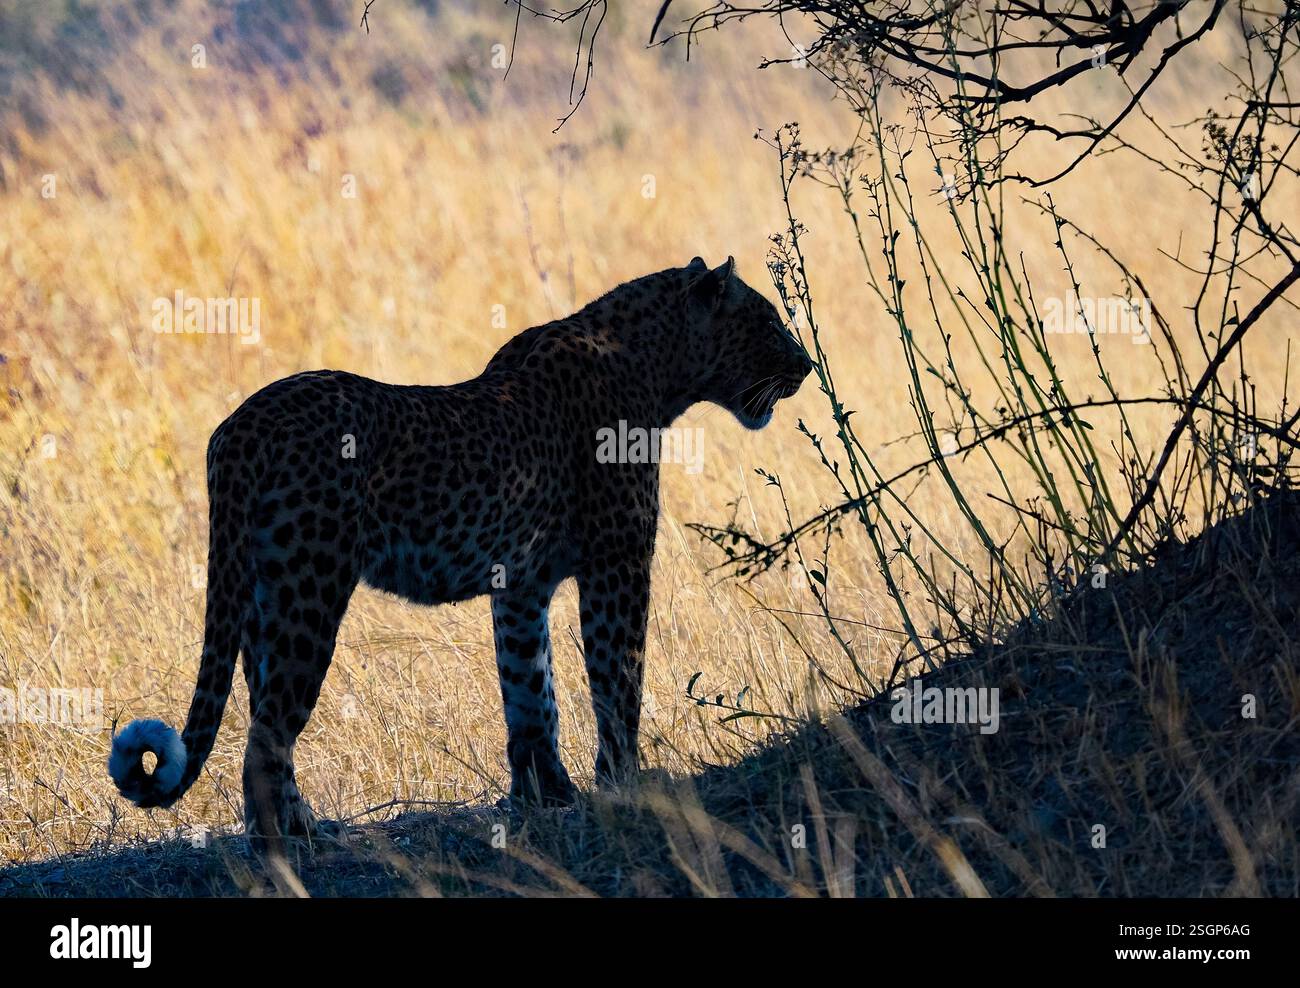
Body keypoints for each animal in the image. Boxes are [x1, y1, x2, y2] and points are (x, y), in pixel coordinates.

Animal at [108, 255, 813, 846]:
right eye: (767, 321)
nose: (805, 366)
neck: (659, 368)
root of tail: (238, 427)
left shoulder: (521, 585)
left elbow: (531, 691)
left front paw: (544, 795)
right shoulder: (619, 560)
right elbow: (618, 679)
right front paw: (625, 784)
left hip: (261, 597)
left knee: (263, 716)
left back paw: (304, 828)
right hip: (308, 592)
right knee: (266, 735)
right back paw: (280, 851)